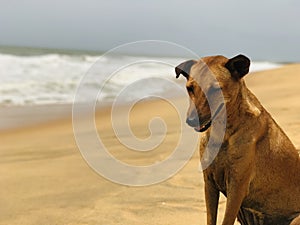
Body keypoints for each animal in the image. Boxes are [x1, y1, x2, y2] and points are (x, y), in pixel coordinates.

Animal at [175, 54, 300, 225]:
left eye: (215, 89)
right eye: (190, 88)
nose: (191, 120)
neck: (223, 132)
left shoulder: (237, 187)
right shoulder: (209, 184)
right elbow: (211, 218)